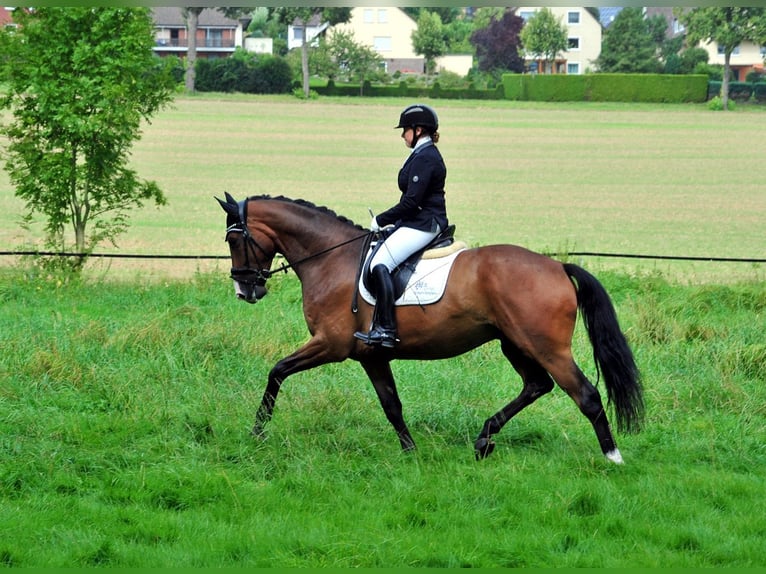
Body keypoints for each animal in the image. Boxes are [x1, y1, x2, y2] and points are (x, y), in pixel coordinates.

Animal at [219, 194, 644, 464]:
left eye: (234, 239)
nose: (244, 290)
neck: (332, 259)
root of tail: (556, 266)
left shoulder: (330, 345)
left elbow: (277, 371)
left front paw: (257, 432)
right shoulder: (370, 355)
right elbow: (391, 404)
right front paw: (411, 452)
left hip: (547, 347)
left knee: (586, 395)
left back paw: (613, 457)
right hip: (514, 343)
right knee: (537, 385)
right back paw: (484, 439)